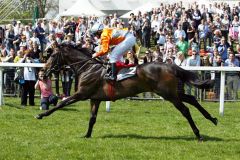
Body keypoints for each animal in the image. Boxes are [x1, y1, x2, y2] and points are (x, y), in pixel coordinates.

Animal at [35, 44, 218, 141]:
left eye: (52, 56)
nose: (43, 72)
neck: (88, 68)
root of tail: (170, 66)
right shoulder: (95, 98)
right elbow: (92, 119)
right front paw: (87, 135)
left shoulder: (82, 94)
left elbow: (61, 103)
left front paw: (41, 114)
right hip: (172, 92)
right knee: (192, 98)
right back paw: (212, 119)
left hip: (169, 94)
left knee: (186, 110)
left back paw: (198, 134)